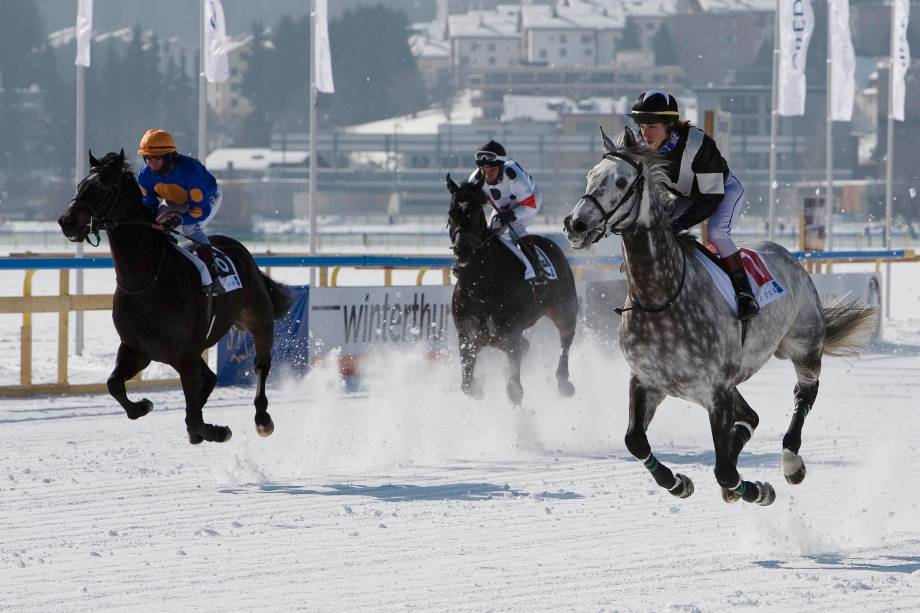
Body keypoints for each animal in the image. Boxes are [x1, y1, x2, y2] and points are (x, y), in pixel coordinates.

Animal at [57, 151, 292, 442]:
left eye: (102, 187)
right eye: (80, 185)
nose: (66, 221)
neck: (146, 282)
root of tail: (242, 251)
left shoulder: (185, 354)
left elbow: (195, 419)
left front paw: (215, 430)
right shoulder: (137, 348)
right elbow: (114, 384)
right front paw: (143, 405)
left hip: (258, 319)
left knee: (260, 365)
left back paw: (262, 418)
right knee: (210, 378)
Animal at [444, 173, 576, 402]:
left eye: (475, 211)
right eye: (452, 213)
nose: (462, 250)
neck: (480, 286)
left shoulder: (509, 335)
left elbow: (515, 390)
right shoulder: (467, 337)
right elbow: (467, 386)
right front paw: (479, 386)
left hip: (564, 308)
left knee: (566, 334)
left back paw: (564, 382)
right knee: (527, 345)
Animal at [560, 126, 876, 504]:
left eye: (621, 181)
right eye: (591, 175)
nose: (575, 224)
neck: (660, 296)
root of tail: (788, 255)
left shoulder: (714, 390)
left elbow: (724, 470)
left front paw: (755, 489)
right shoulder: (648, 380)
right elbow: (634, 440)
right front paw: (678, 483)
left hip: (803, 345)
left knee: (804, 394)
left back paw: (790, 462)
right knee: (750, 416)